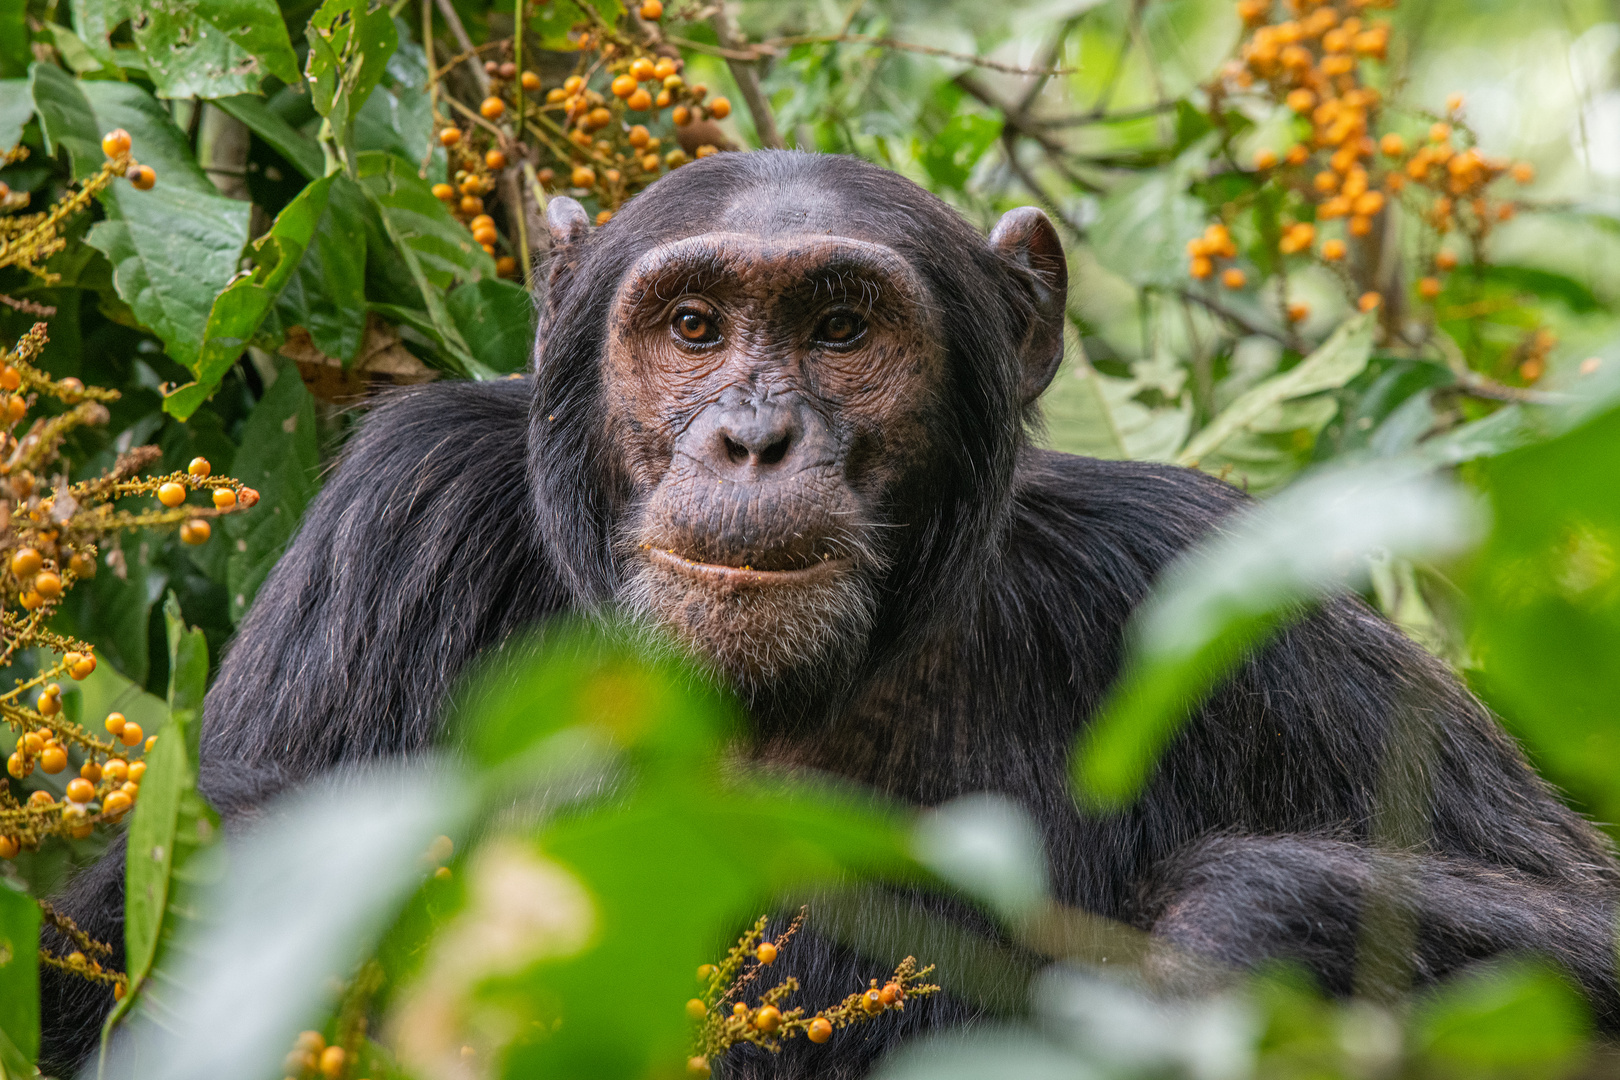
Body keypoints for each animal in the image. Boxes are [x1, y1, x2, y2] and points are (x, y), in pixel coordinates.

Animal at [38, 149, 1620, 1075]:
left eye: (842, 329)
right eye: (694, 328)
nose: (754, 436)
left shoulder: (1215, 583)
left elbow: (1577, 917)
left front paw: (1227, 940)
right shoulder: (399, 521)